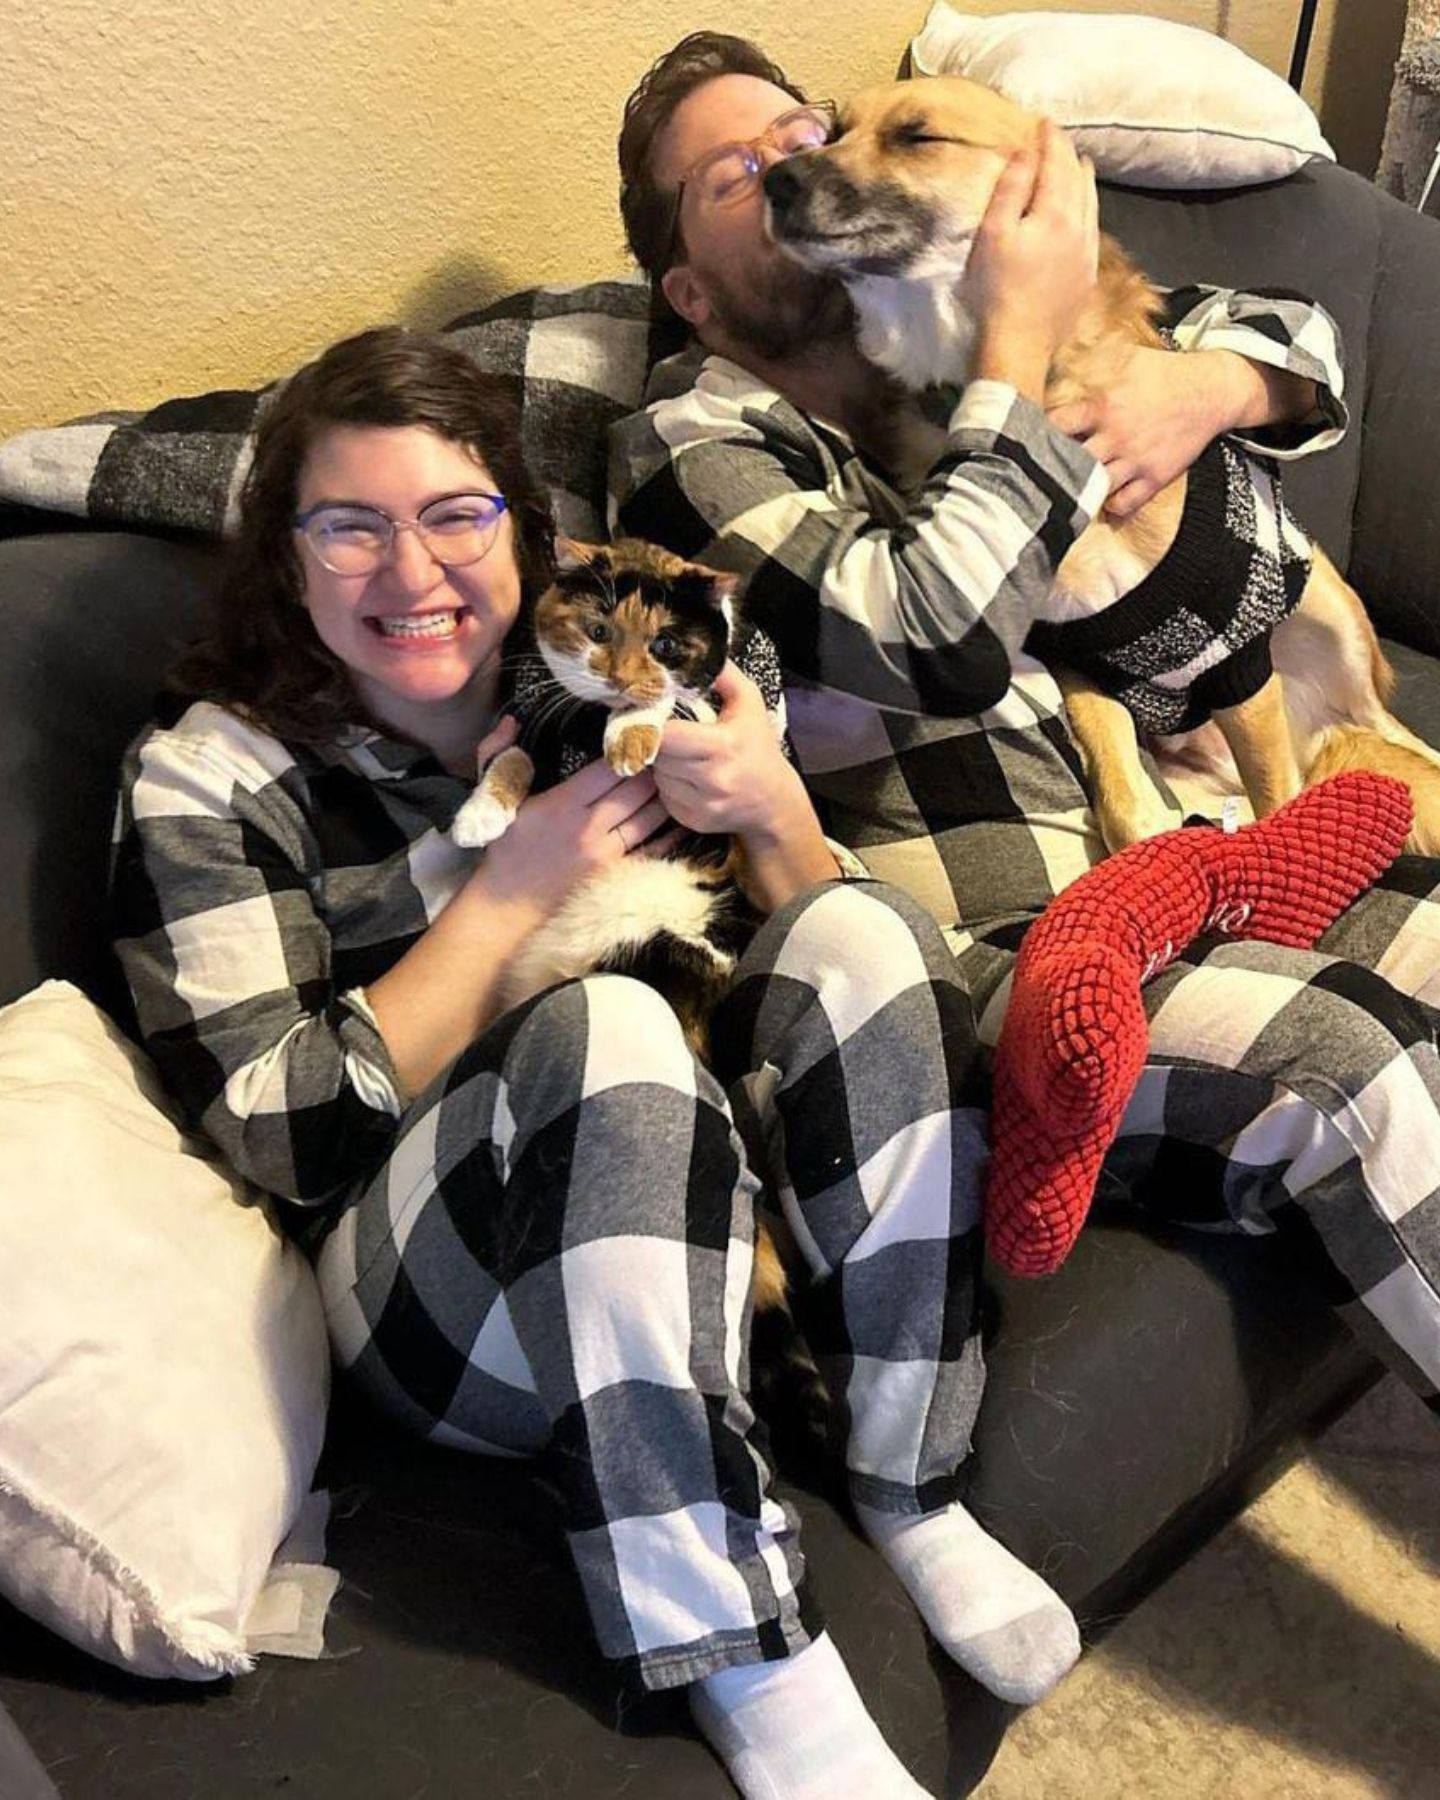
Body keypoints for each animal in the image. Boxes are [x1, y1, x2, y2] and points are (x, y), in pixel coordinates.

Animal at [763, 75, 1440, 849]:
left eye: (918, 136)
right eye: (832, 133)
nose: (776, 182)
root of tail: (1317, 735)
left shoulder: (1238, 661)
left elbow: (1278, 808)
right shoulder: (1081, 666)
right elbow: (1124, 807)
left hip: (1333, 613)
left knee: (1395, 739)